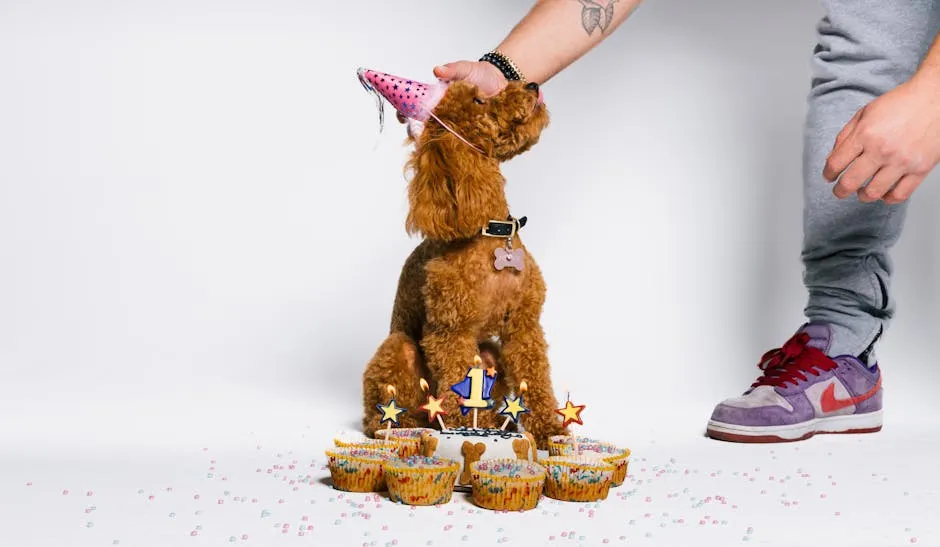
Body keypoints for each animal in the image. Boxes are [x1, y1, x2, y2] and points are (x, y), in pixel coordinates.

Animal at [360, 80, 564, 450]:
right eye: (480, 100)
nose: (531, 84)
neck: (490, 234)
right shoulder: (450, 331)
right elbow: (457, 378)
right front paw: (465, 427)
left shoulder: (524, 326)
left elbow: (536, 378)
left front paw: (547, 430)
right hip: (399, 348)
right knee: (381, 414)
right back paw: (405, 425)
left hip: (491, 352)